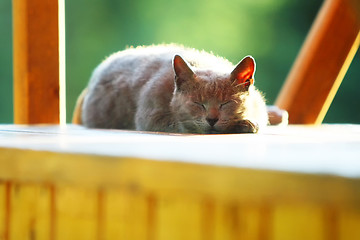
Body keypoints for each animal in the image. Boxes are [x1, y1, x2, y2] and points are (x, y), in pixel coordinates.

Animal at [74, 44, 270, 134]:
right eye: (198, 103)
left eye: (226, 103)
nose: (212, 119)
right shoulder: (150, 116)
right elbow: (181, 124)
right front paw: (244, 124)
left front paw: (247, 122)